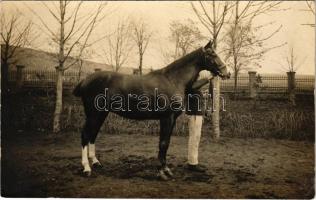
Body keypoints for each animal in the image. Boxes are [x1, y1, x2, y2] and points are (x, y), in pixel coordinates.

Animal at [72, 41, 230, 180]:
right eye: (213, 54)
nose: (227, 72)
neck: (172, 79)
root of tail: (85, 80)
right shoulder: (167, 118)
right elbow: (163, 143)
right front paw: (162, 173)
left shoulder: (172, 119)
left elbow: (166, 143)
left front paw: (166, 170)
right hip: (93, 114)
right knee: (85, 135)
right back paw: (86, 168)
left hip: (101, 114)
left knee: (93, 134)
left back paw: (96, 162)